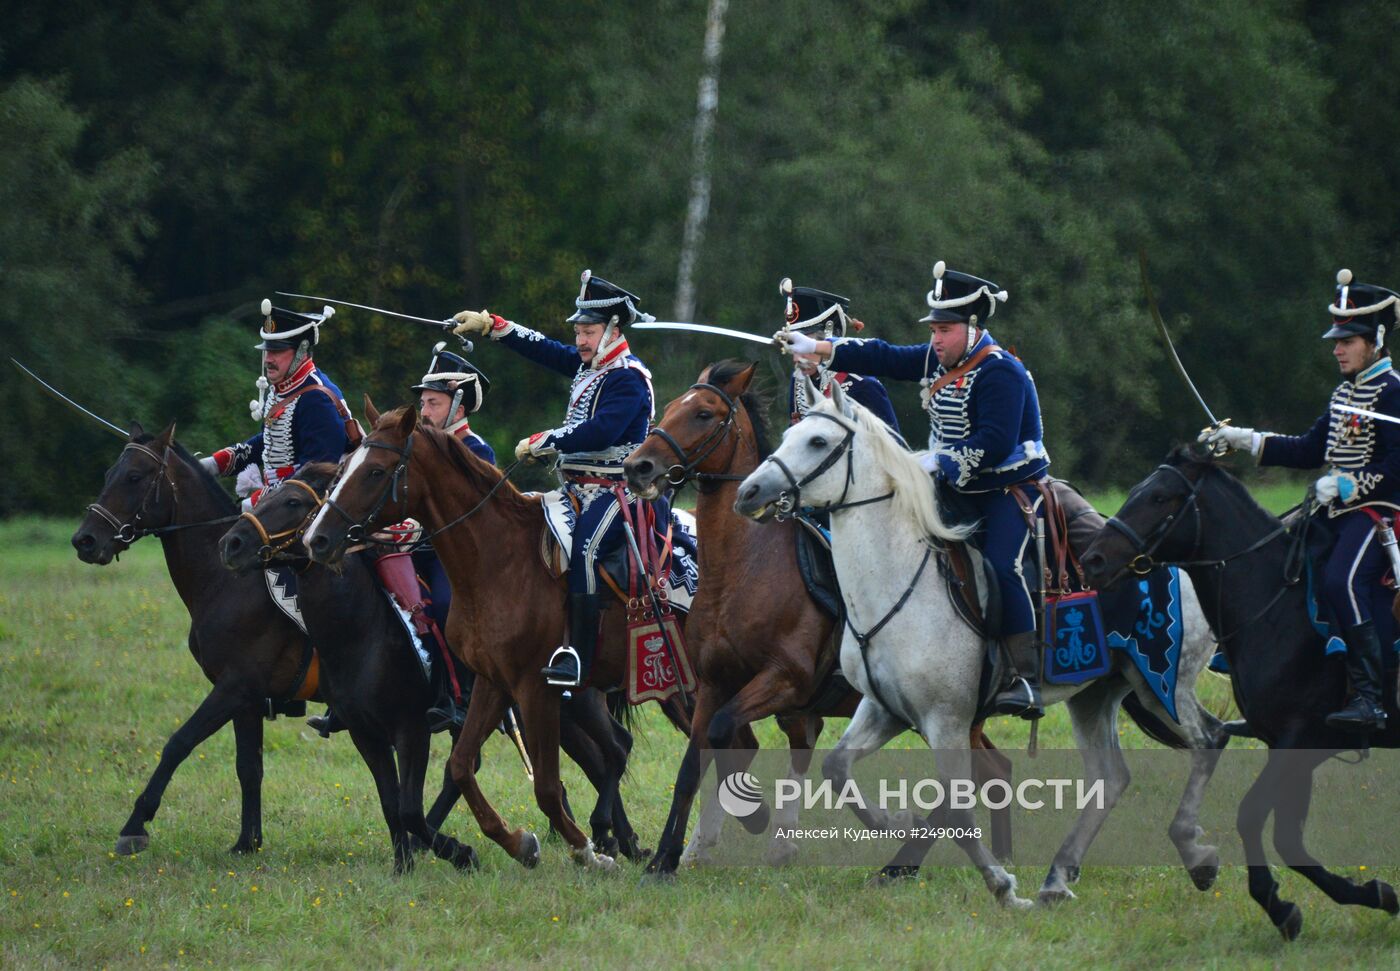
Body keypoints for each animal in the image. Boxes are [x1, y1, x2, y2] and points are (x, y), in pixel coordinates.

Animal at [219, 467, 655, 867]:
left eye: (293, 502)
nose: (232, 543)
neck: (360, 630)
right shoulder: (365, 733)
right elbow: (392, 803)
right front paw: (404, 864)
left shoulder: (411, 729)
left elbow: (410, 808)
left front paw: (456, 852)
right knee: (603, 754)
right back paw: (617, 841)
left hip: (570, 703)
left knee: (615, 748)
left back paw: (610, 837)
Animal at [308, 402, 700, 873]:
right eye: (343, 467)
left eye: (376, 471)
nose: (317, 539)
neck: (499, 561)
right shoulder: (492, 682)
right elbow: (461, 765)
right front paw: (517, 843)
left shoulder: (535, 689)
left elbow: (546, 787)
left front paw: (585, 850)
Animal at [624, 360, 1008, 878]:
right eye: (667, 408)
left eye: (703, 413)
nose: (637, 467)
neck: (741, 571)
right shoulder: (713, 685)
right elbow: (691, 767)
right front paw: (666, 858)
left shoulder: (785, 680)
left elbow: (728, 736)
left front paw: (755, 818)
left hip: (950, 716)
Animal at [733, 377, 1226, 906]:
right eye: (788, 434)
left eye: (818, 441)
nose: (748, 492)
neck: (897, 580)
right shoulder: (884, 710)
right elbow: (836, 768)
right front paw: (894, 821)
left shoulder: (946, 721)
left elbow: (958, 806)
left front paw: (1002, 886)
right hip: (1097, 693)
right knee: (1111, 778)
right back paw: (1057, 878)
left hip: (1164, 684)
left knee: (1209, 740)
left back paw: (1196, 853)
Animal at [1080, 450, 1400, 945]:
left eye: (1159, 497)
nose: (1092, 559)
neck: (1278, 605)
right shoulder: (1290, 748)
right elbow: (1289, 838)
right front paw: (1362, 895)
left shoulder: (1301, 741)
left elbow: (1251, 816)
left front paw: (1276, 902)